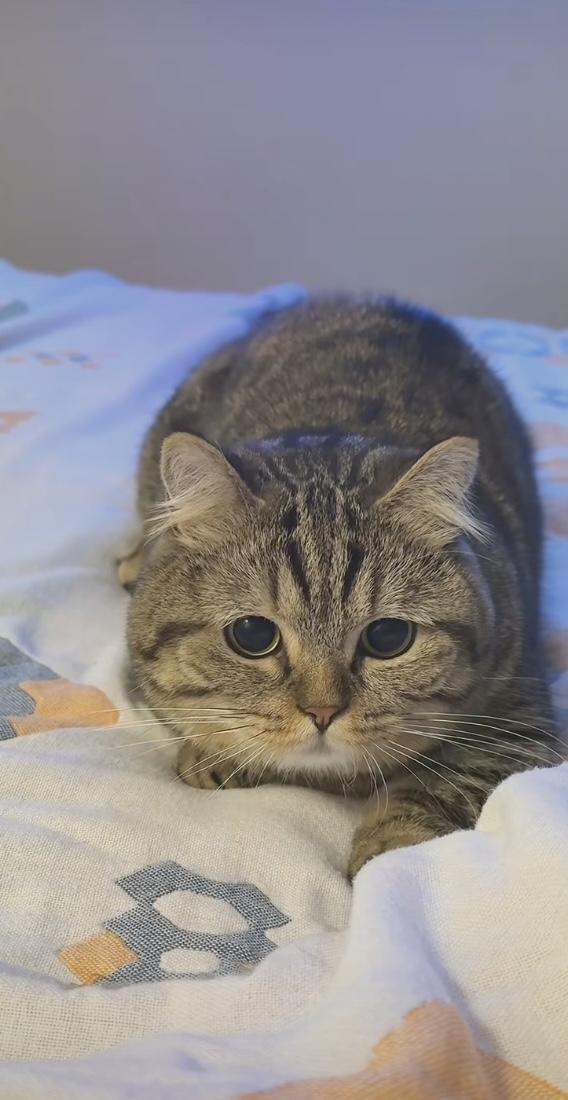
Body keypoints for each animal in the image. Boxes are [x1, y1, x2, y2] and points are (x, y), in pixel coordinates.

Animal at [123, 298, 559, 877]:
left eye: (389, 638)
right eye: (252, 634)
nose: (323, 713)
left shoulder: (520, 724)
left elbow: (438, 785)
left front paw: (392, 858)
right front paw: (217, 756)